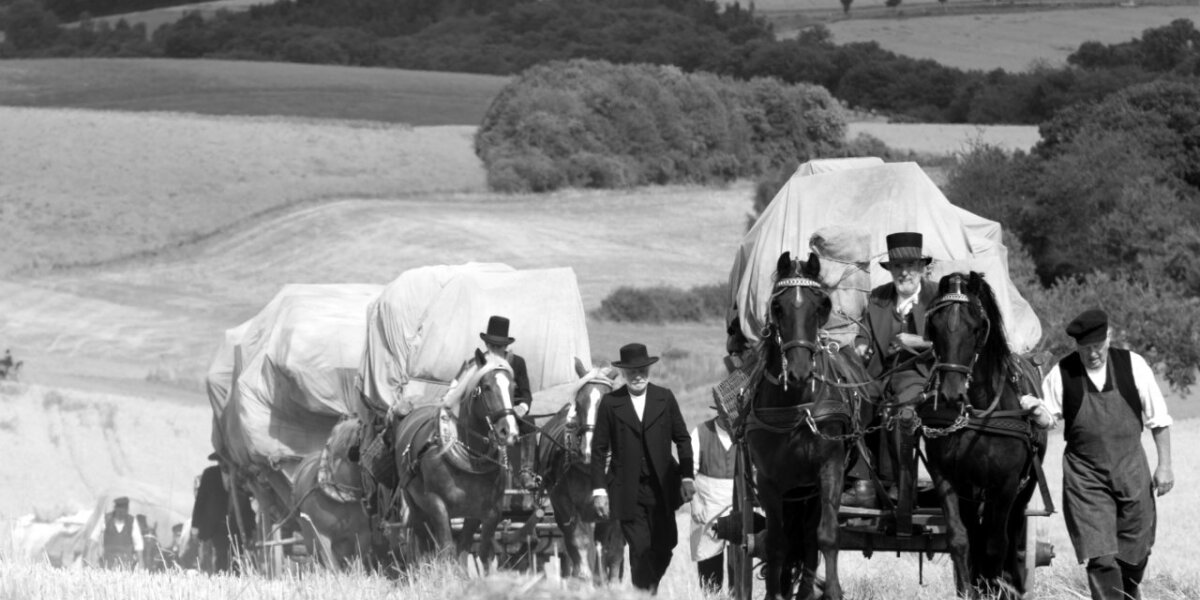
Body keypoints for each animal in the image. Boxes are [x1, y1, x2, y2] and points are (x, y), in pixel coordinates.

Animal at [739, 249, 873, 600]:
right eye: (777, 307)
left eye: (821, 305)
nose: (799, 370)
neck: (797, 404)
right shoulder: (769, 480)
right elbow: (775, 542)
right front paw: (774, 593)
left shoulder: (830, 469)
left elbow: (826, 535)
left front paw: (833, 592)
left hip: (810, 490)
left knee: (811, 538)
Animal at [921, 273, 1046, 600]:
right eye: (934, 325)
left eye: (976, 327)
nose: (952, 394)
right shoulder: (947, 477)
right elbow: (960, 539)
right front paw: (968, 589)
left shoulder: (1005, 485)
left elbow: (996, 545)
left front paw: (995, 588)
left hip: (1022, 489)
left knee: (1010, 536)